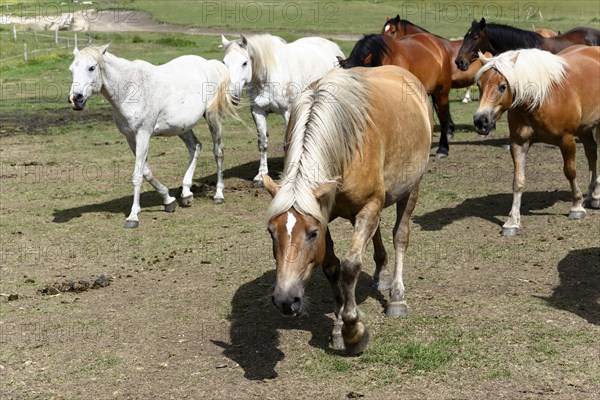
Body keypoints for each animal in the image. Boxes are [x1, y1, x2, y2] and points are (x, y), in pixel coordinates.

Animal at [67, 45, 233, 227]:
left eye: (91, 68)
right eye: (71, 70)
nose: (75, 99)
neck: (129, 90)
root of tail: (209, 64)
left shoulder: (143, 134)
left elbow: (137, 175)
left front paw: (133, 216)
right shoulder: (131, 138)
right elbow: (146, 172)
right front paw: (169, 200)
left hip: (212, 116)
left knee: (218, 151)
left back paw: (218, 195)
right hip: (182, 127)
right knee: (195, 147)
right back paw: (186, 194)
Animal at [220, 33, 342, 187]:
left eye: (244, 63)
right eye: (224, 62)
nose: (230, 96)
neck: (269, 76)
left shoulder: (288, 113)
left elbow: (288, 143)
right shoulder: (258, 112)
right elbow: (262, 143)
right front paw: (261, 176)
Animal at [262, 66, 432, 356]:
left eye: (311, 234)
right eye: (272, 232)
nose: (285, 299)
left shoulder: (367, 205)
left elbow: (350, 266)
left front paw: (352, 330)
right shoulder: (328, 212)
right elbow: (332, 267)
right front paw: (338, 326)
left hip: (411, 188)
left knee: (400, 236)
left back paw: (397, 297)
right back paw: (382, 275)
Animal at [474, 46, 600, 238]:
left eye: (502, 86)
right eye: (479, 85)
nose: (481, 120)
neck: (541, 98)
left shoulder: (567, 140)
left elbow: (570, 172)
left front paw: (576, 207)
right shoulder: (518, 143)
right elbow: (518, 181)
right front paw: (512, 222)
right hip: (584, 128)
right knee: (591, 153)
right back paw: (592, 195)